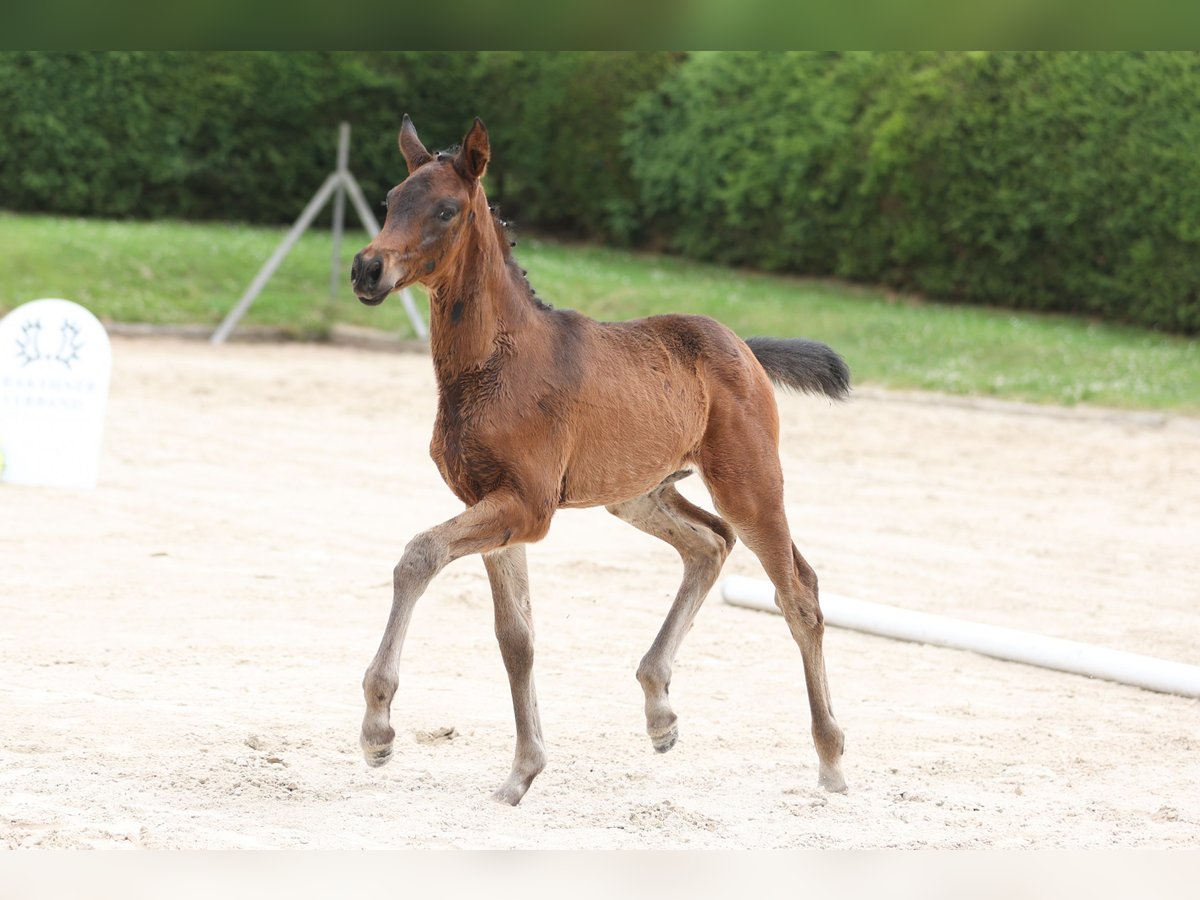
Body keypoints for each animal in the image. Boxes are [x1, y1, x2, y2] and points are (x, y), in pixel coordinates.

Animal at [350, 116, 849, 806]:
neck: (496, 363)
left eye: (446, 210)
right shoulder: (492, 505)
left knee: (797, 590)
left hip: (749, 483)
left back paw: (830, 759)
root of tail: (743, 347)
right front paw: (522, 773)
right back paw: (660, 710)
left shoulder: (526, 507)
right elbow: (516, 637)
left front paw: (378, 728)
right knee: (710, 544)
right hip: (639, 492)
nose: (367, 269)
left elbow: (417, 556)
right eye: (390, 200)